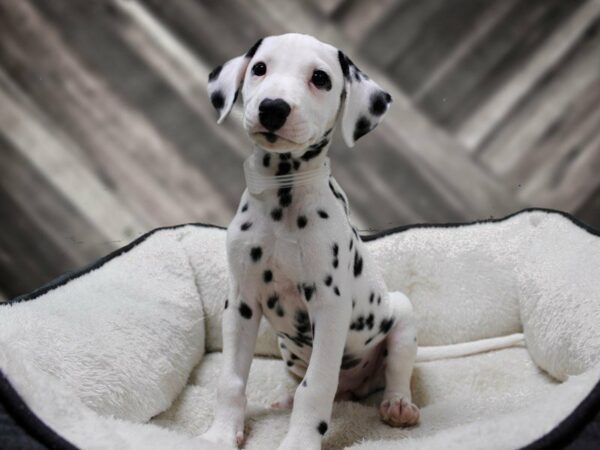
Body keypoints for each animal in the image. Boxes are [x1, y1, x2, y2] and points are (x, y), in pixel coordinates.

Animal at [200, 33, 418, 448]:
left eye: (320, 78)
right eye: (259, 68)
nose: (273, 108)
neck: (284, 195)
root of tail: (355, 389)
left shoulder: (329, 307)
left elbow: (315, 388)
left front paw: (300, 440)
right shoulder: (240, 303)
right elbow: (230, 380)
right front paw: (220, 435)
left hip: (402, 318)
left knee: (397, 371)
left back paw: (398, 405)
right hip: (290, 349)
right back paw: (285, 399)